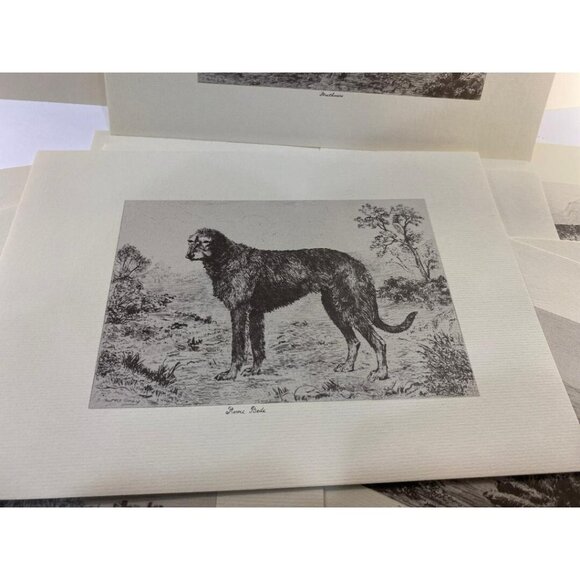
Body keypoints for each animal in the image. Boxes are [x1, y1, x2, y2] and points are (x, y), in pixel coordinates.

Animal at [186, 228, 417, 381]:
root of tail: (357, 264)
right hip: (335, 309)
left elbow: (238, 348)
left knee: (379, 342)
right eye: (190, 241)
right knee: (354, 342)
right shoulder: (255, 314)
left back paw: (381, 373)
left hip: (352, 310)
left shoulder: (239, 311)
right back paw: (348, 367)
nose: (189, 254)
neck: (228, 259)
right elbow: (257, 346)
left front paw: (231, 374)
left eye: (204, 242)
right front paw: (255, 370)